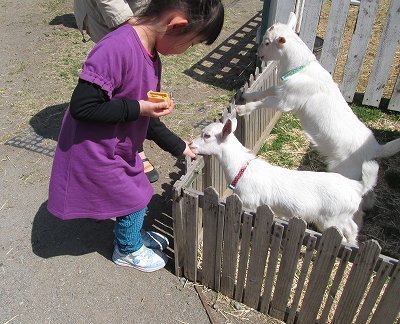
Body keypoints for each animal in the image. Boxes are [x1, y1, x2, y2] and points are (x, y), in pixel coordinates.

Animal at [190, 117, 378, 244]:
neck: (242, 169)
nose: (191, 145)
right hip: (344, 215)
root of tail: (358, 187)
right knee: (353, 228)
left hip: (331, 218)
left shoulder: (251, 204)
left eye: (207, 135)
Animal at [236, 13, 398, 202]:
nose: (259, 54)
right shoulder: (283, 90)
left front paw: (243, 109)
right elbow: (267, 91)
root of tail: (375, 149)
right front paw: (246, 96)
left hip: (347, 170)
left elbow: (266, 101)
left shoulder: (288, 102)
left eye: (268, 42)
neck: (301, 70)